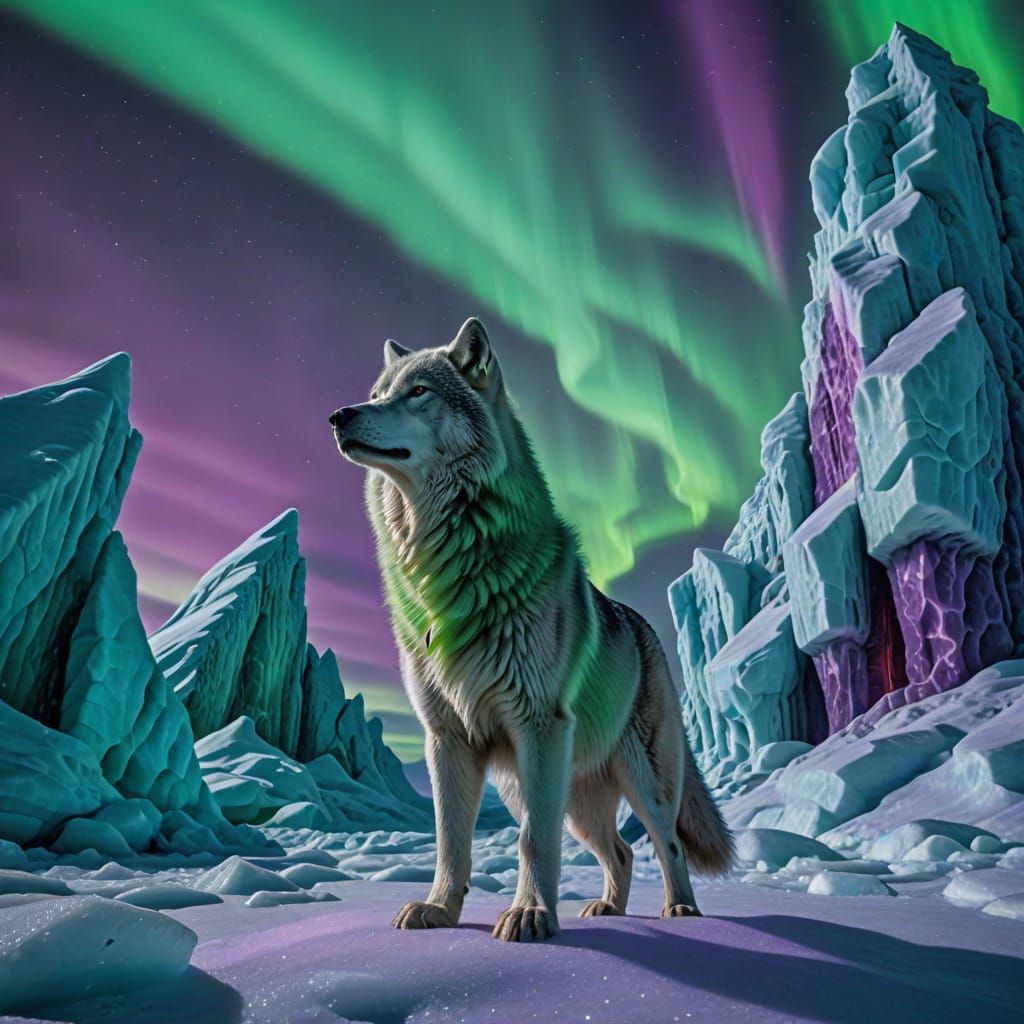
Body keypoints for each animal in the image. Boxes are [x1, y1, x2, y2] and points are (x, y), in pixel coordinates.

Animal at [331, 317, 732, 942]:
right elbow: (451, 843)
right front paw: (440, 910)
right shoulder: (446, 739)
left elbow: (531, 844)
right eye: (376, 393)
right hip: (562, 796)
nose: (340, 415)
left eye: (417, 392)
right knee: (621, 852)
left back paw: (682, 910)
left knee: (666, 844)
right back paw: (608, 909)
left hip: (633, 780)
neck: (449, 570)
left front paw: (530, 915)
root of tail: (647, 630)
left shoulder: (538, 726)